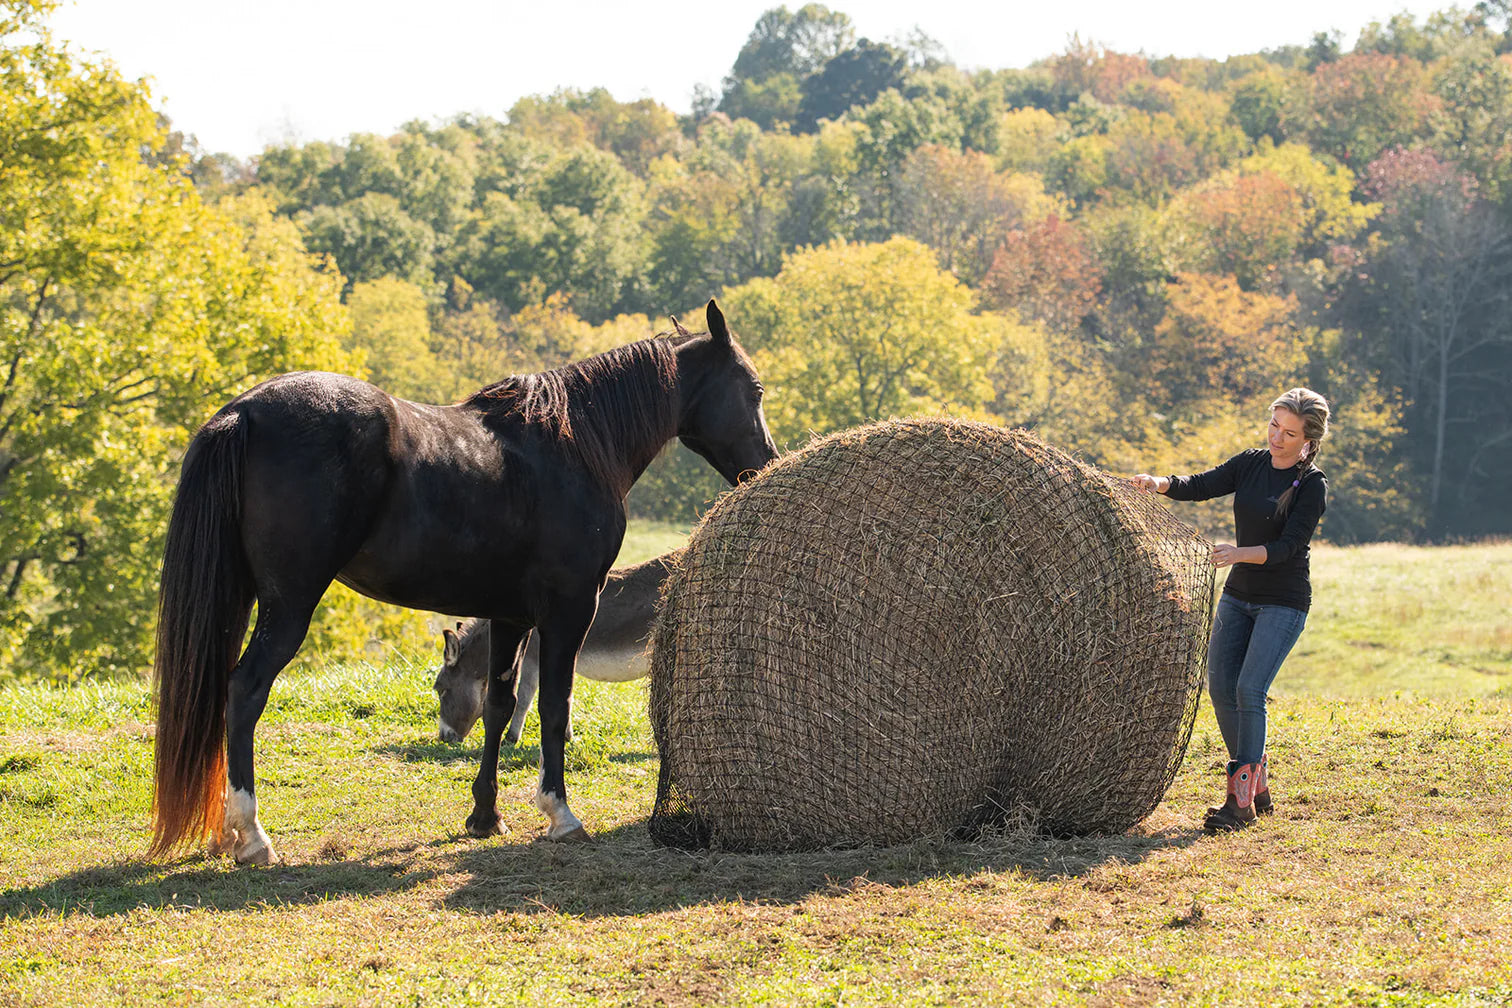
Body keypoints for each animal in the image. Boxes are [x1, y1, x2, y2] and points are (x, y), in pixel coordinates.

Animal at [151, 296, 774, 864]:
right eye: (756, 389)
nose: (762, 465)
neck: (571, 445)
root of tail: (246, 412)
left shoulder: (510, 615)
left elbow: (500, 704)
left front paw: (485, 814)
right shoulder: (569, 611)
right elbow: (554, 706)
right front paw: (559, 813)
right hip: (288, 606)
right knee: (243, 692)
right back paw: (253, 835)